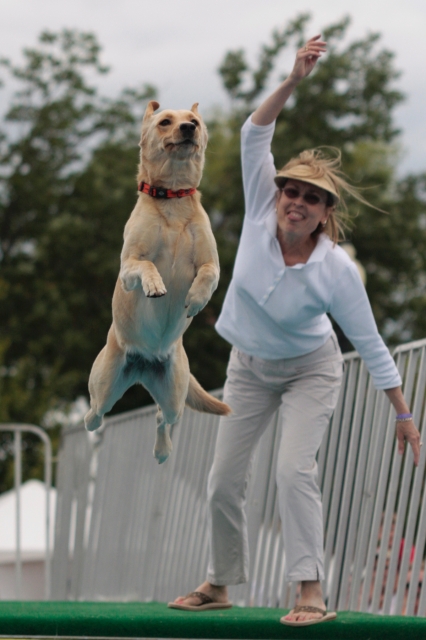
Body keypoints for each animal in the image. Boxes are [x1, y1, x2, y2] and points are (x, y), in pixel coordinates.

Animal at [85, 100, 230, 462]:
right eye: (165, 122)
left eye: (193, 121)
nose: (188, 128)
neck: (173, 195)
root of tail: (144, 362)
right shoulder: (128, 267)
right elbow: (147, 264)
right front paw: (154, 285)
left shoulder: (211, 262)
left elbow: (208, 274)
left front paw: (195, 300)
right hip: (106, 383)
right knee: (94, 413)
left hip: (175, 390)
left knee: (164, 417)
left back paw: (163, 451)